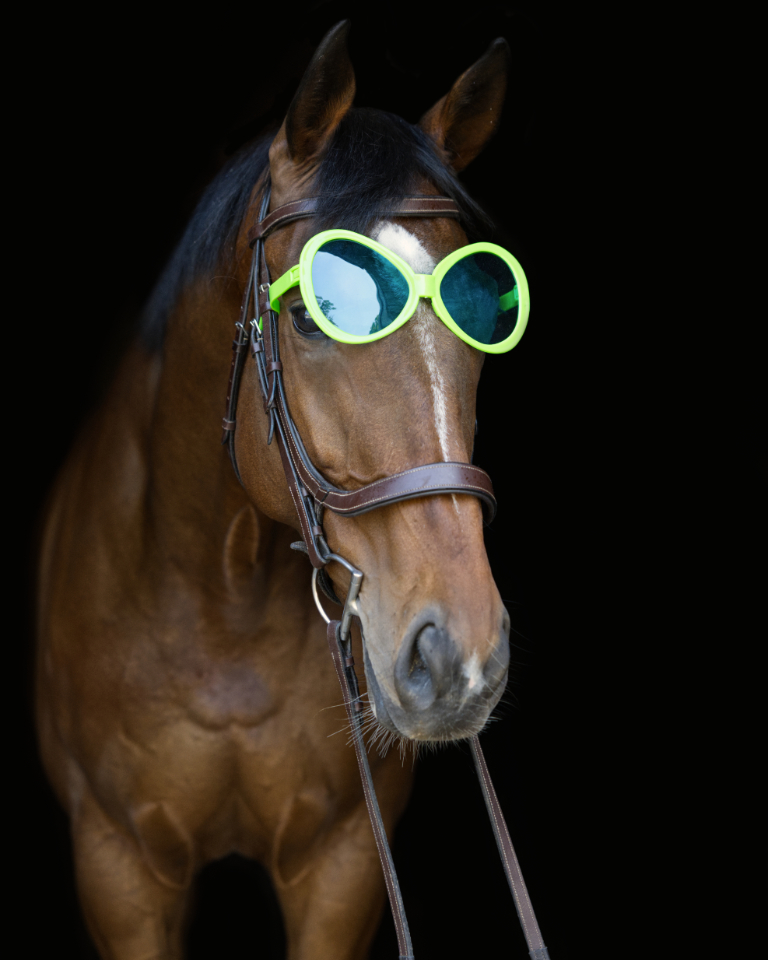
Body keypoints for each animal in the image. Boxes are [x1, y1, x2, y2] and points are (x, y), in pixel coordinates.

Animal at [36, 21, 527, 959]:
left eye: (485, 313)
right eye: (310, 314)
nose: (461, 658)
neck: (221, 605)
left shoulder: (342, 867)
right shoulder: (118, 867)